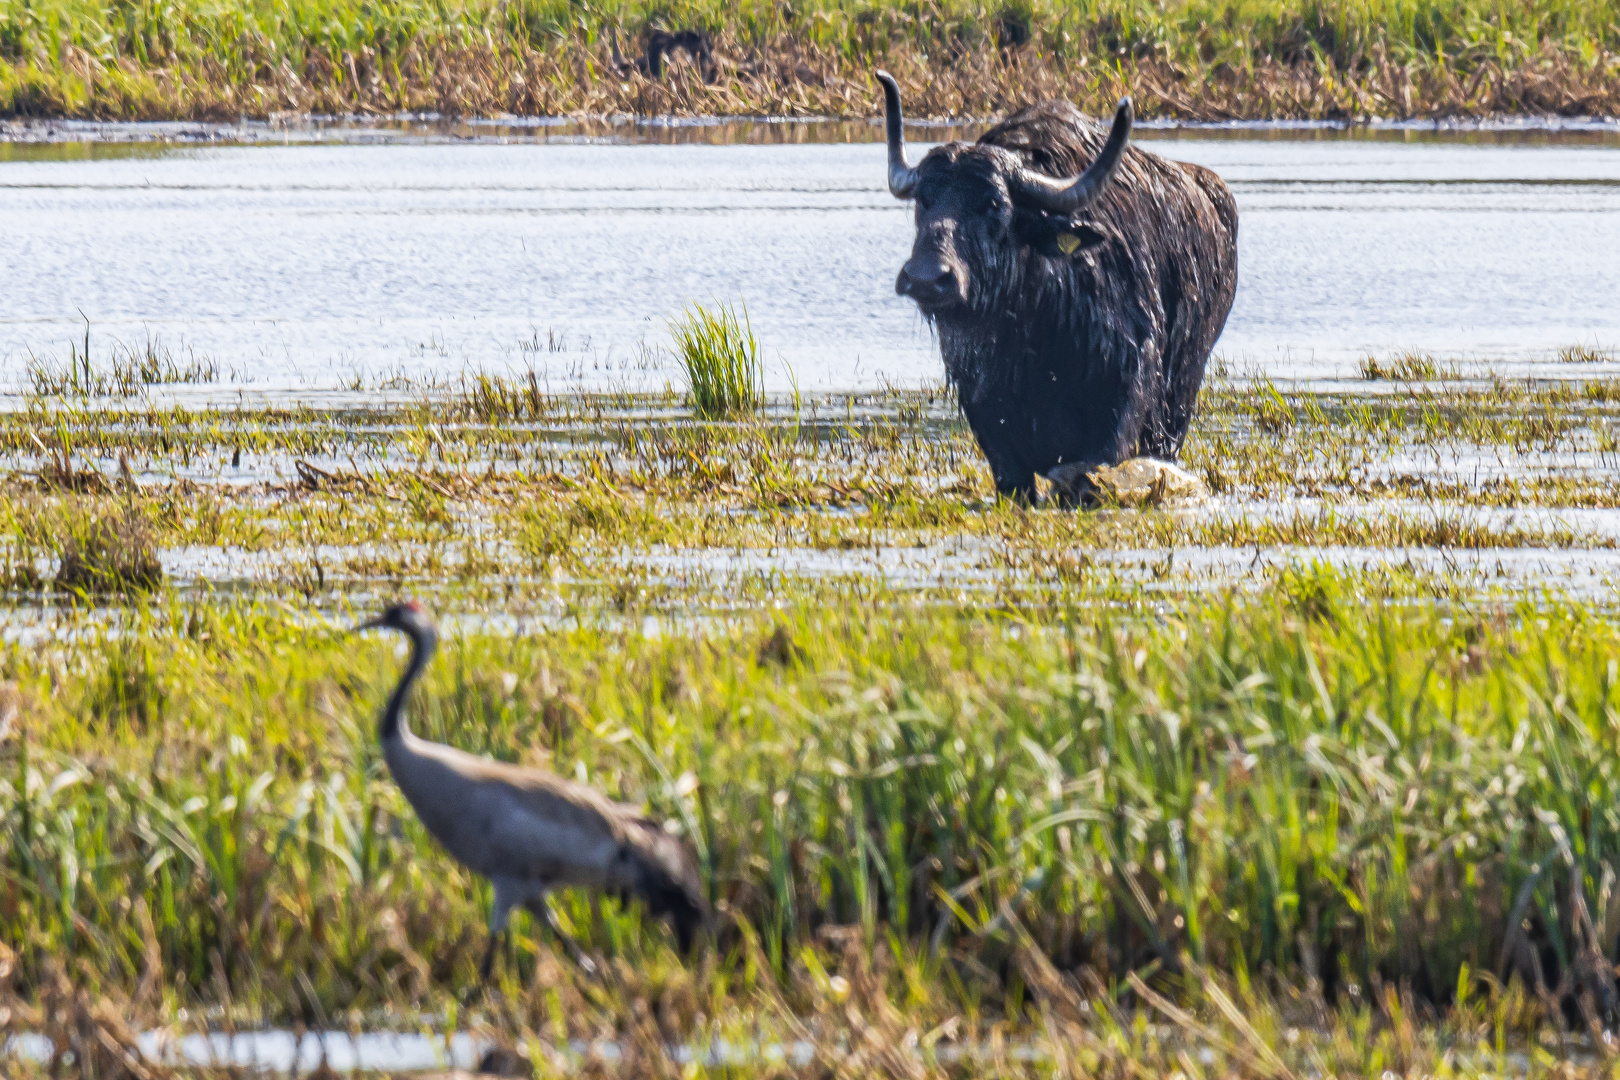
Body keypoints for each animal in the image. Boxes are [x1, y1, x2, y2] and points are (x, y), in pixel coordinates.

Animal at [881, 74, 1231, 505]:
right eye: (923, 201)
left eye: (994, 204)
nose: (926, 277)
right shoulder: (988, 418)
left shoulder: (1123, 402)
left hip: (1179, 401)